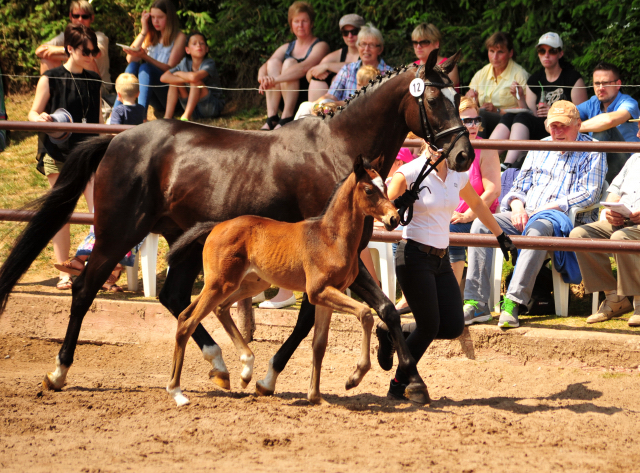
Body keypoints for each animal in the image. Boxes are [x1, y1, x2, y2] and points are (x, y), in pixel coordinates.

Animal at [166, 156, 400, 406]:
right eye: (369, 190)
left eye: (386, 188)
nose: (394, 218)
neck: (331, 238)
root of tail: (216, 225)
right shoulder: (319, 292)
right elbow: (365, 314)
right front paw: (354, 378)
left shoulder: (327, 295)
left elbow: (319, 345)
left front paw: (315, 396)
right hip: (220, 284)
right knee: (188, 322)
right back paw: (177, 392)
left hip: (248, 283)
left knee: (209, 311)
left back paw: (245, 370)